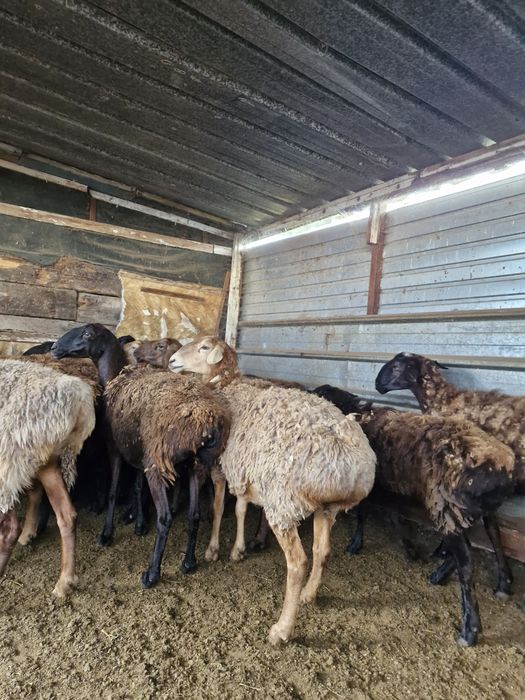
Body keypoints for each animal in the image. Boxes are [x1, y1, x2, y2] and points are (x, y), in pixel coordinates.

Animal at [0, 359, 95, 596]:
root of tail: (79, 401)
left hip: (10, 460)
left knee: (9, 528)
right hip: (46, 461)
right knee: (66, 514)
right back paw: (65, 582)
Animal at [52, 324, 230, 586]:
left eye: (87, 334)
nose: (54, 347)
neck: (114, 375)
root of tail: (207, 422)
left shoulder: (115, 450)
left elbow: (113, 492)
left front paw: (107, 534)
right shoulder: (136, 452)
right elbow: (137, 487)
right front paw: (138, 523)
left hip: (158, 463)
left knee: (165, 517)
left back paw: (152, 573)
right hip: (197, 465)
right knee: (194, 515)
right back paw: (188, 563)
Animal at [168, 336, 376, 645]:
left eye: (204, 347)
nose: (172, 360)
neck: (228, 387)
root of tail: (349, 462)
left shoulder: (221, 467)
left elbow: (218, 508)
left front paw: (213, 549)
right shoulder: (244, 468)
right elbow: (241, 508)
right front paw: (238, 549)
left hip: (283, 504)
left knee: (298, 563)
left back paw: (282, 629)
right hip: (327, 508)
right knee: (323, 550)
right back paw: (309, 595)